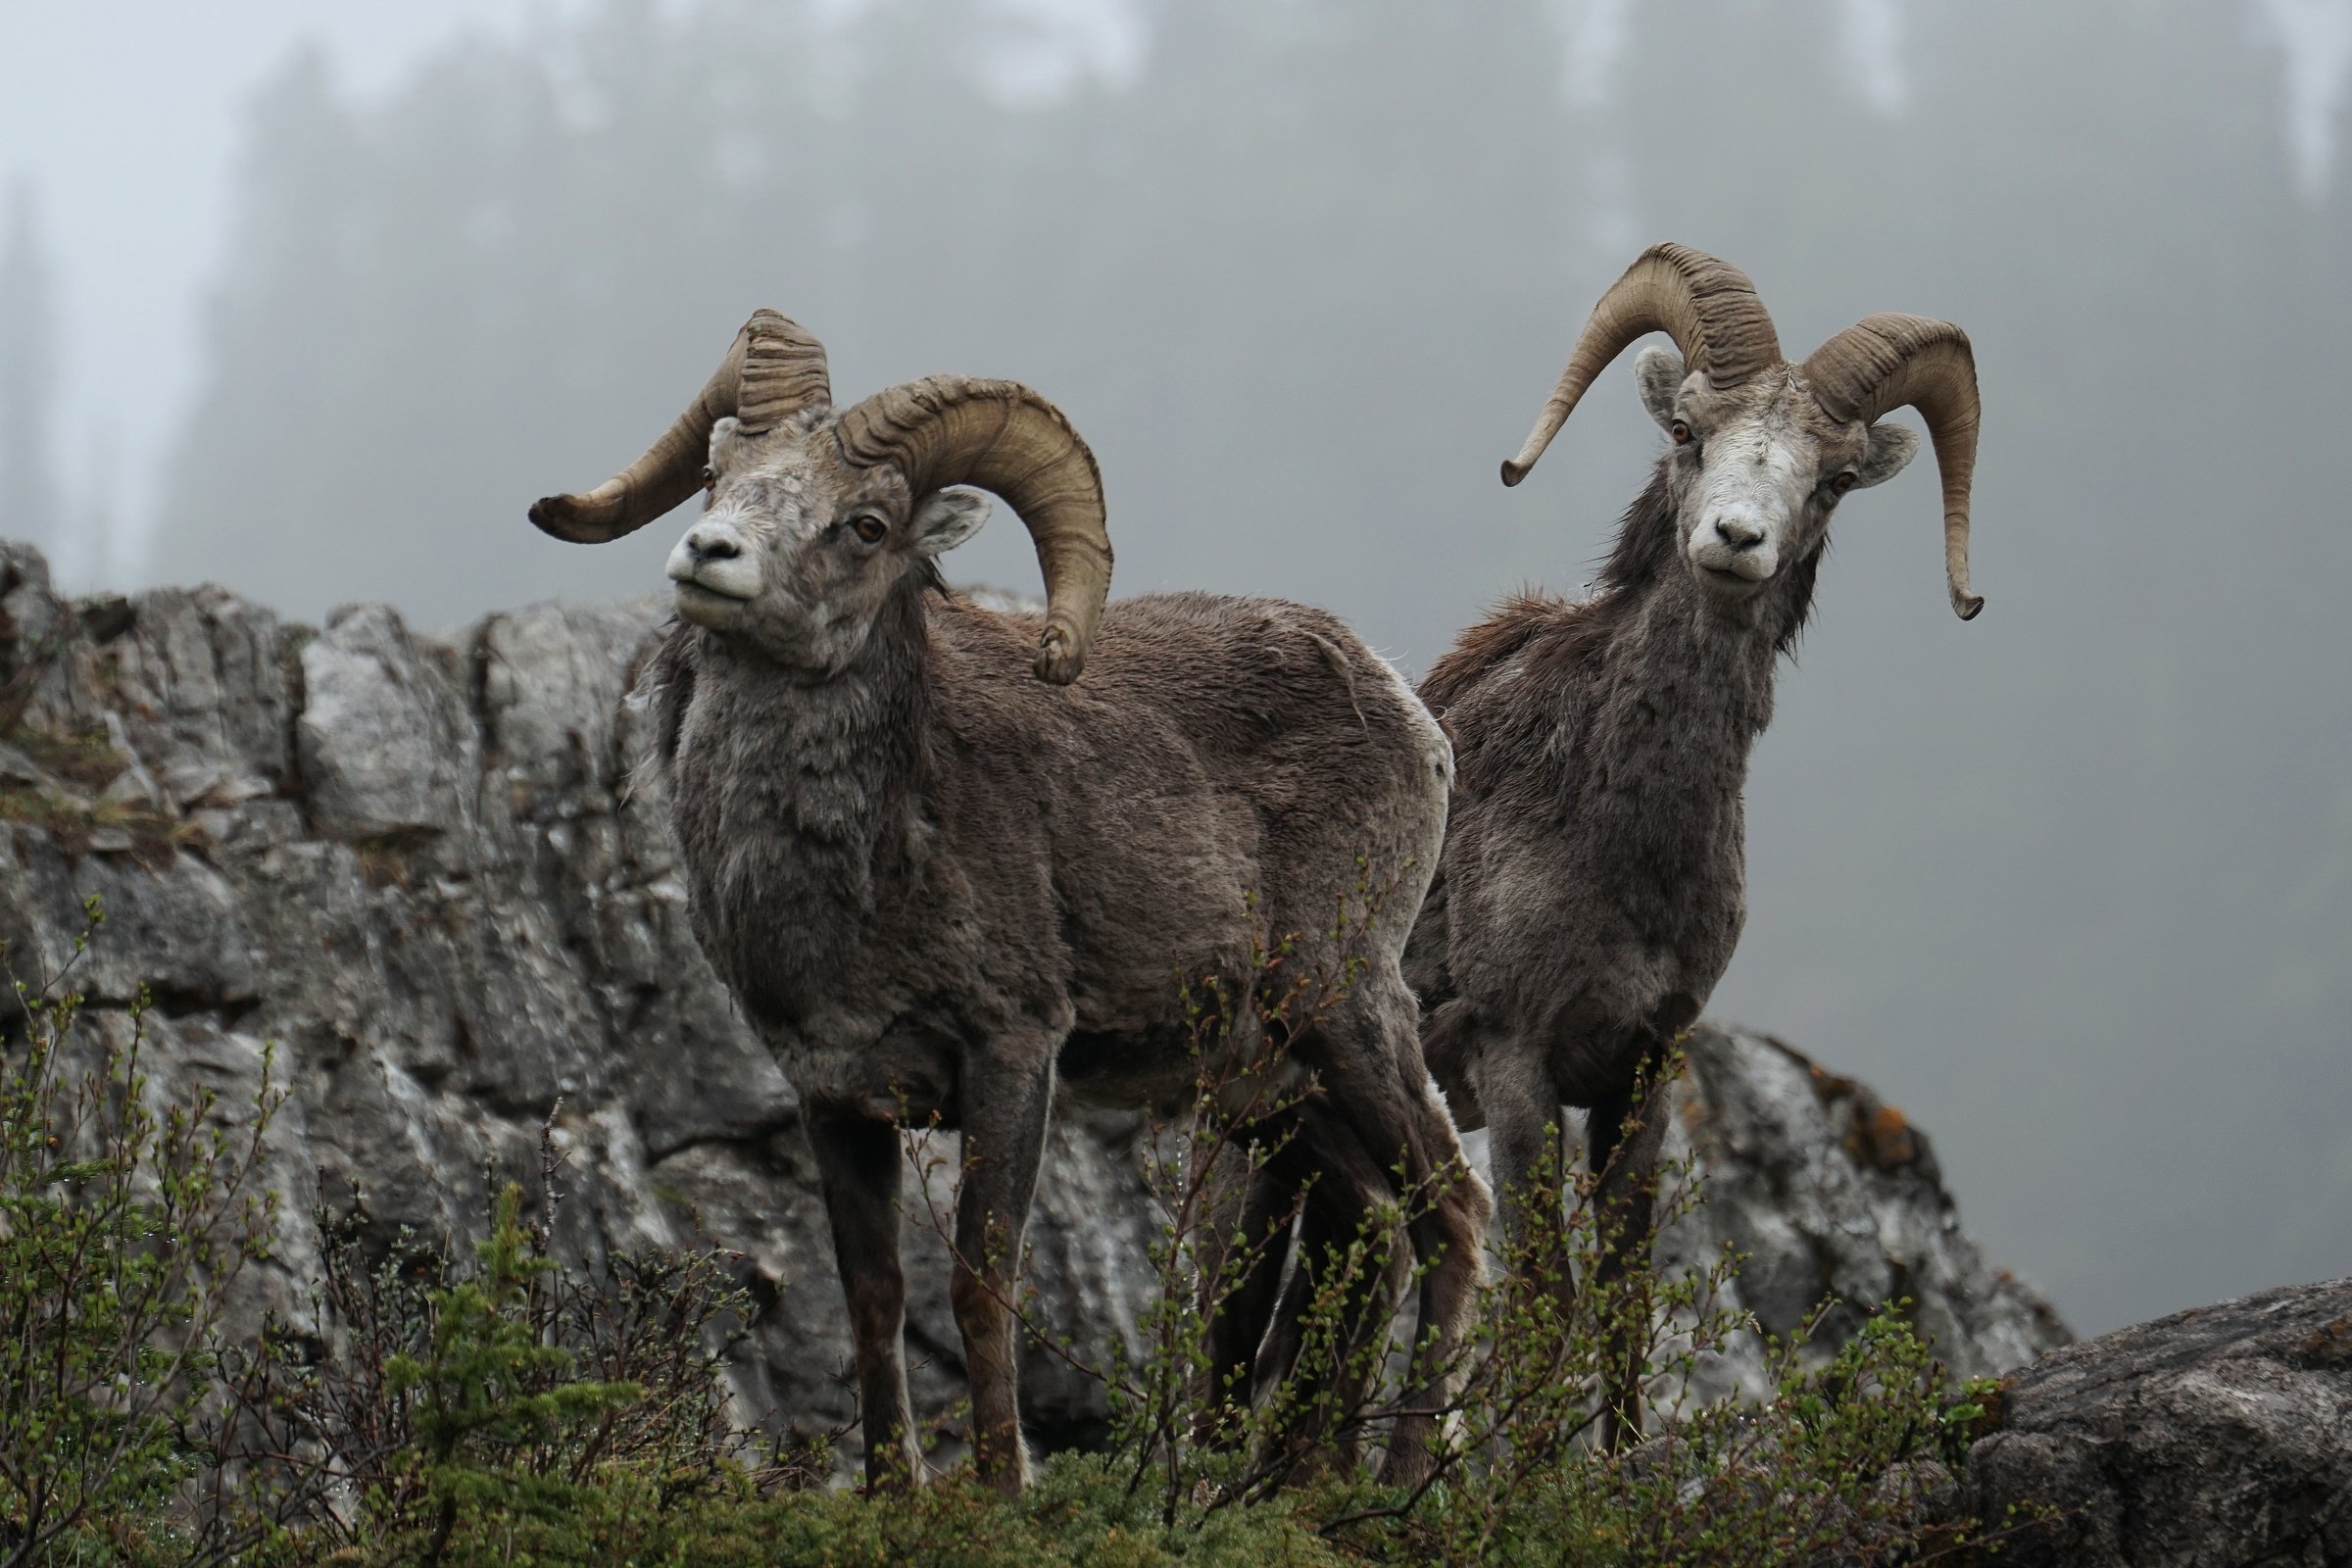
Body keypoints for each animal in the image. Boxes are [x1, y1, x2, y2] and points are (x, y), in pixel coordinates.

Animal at [526, 312, 1491, 1492]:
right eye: (719, 473)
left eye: (865, 523)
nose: (710, 555)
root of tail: (1409, 710)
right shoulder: (836, 1096)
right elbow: (874, 1297)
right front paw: (895, 1491)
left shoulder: (1013, 1055)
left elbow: (981, 1284)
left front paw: (998, 1488)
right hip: (1279, 1092)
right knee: (1376, 1227)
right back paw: (1287, 1488)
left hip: (1344, 1010)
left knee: (1453, 1216)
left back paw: (1398, 1481)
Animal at [1403, 243, 1984, 1446]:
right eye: (1688, 431)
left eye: (1832, 478)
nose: (1735, 541)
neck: (1625, 850)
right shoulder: (1517, 1060)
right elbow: (1546, 1305)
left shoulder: (1642, 1069)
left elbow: (1624, 1311)